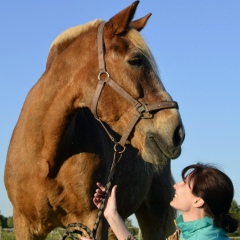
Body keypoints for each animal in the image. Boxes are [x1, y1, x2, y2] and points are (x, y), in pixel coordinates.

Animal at [3, 0, 185, 239]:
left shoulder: (91, 221)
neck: (45, 158)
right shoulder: (25, 224)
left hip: (155, 213)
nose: (176, 132)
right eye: (135, 60)